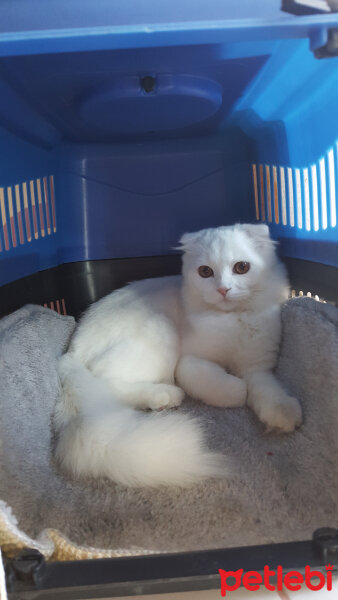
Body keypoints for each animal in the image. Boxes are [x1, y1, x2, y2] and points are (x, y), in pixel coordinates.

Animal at [54, 224, 302, 488]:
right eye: (205, 272)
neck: (233, 318)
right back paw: (167, 395)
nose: (223, 289)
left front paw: (284, 414)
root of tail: (71, 351)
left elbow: (268, 391)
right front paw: (238, 390)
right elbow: (226, 387)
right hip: (160, 330)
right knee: (109, 383)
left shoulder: (257, 367)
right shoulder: (190, 362)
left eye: (241, 267)